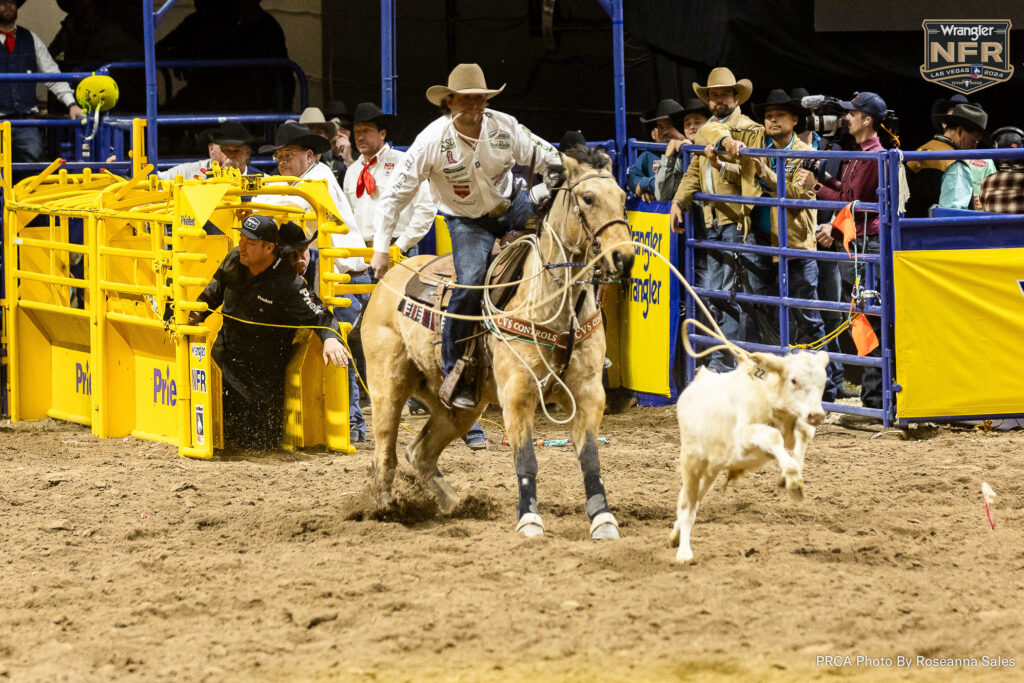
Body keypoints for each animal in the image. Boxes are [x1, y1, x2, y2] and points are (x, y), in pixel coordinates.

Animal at [360, 149, 630, 540]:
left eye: (623, 198)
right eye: (588, 198)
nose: (623, 257)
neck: (549, 302)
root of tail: (388, 278)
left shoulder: (589, 392)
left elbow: (590, 457)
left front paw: (603, 519)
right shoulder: (518, 393)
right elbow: (526, 460)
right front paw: (530, 520)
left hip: (460, 407)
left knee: (420, 453)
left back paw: (455, 503)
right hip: (387, 385)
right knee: (385, 453)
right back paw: (385, 510)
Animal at [671, 350, 831, 565]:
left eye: (823, 382)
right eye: (794, 380)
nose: (817, 415)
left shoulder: (795, 427)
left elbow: (804, 432)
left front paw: (788, 477)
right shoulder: (742, 438)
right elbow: (773, 436)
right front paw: (794, 480)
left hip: (711, 469)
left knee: (692, 501)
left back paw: (675, 535)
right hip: (692, 460)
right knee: (688, 505)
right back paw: (684, 552)